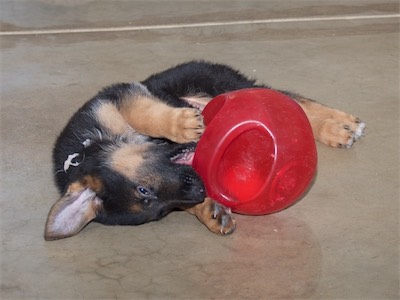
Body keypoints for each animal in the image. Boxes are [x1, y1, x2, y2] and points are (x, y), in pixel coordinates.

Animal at [44, 59, 366, 240]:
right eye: (160, 211)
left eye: (143, 191)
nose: (200, 191)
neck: (86, 149)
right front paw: (211, 212)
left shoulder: (119, 95)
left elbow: (144, 113)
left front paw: (180, 124)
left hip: (224, 83)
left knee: (294, 100)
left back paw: (340, 125)